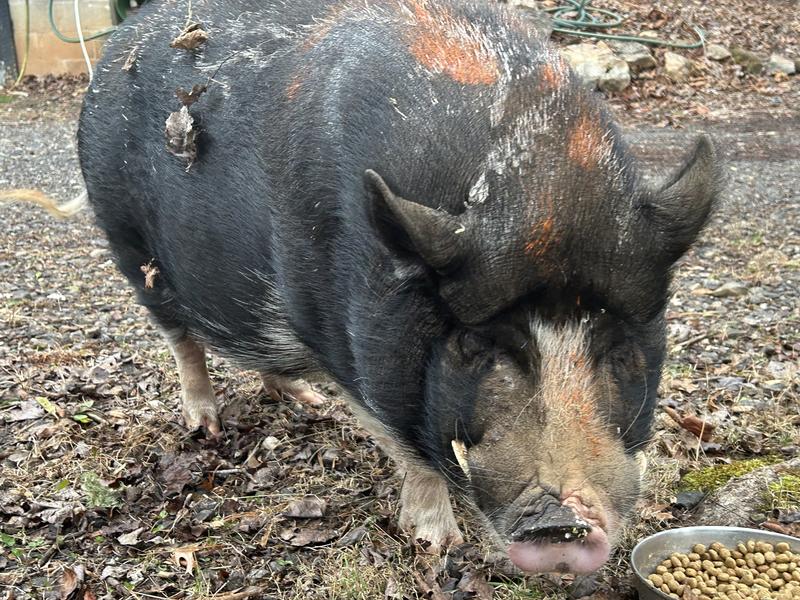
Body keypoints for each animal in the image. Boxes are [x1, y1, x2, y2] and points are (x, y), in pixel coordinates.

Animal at [77, 0, 720, 574]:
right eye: (477, 345)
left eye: (620, 347)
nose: (560, 523)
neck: (542, 195)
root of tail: (118, 44)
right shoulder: (351, 347)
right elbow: (412, 452)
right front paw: (438, 544)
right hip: (128, 245)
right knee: (181, 339)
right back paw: (206, 425)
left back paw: (306, 401)